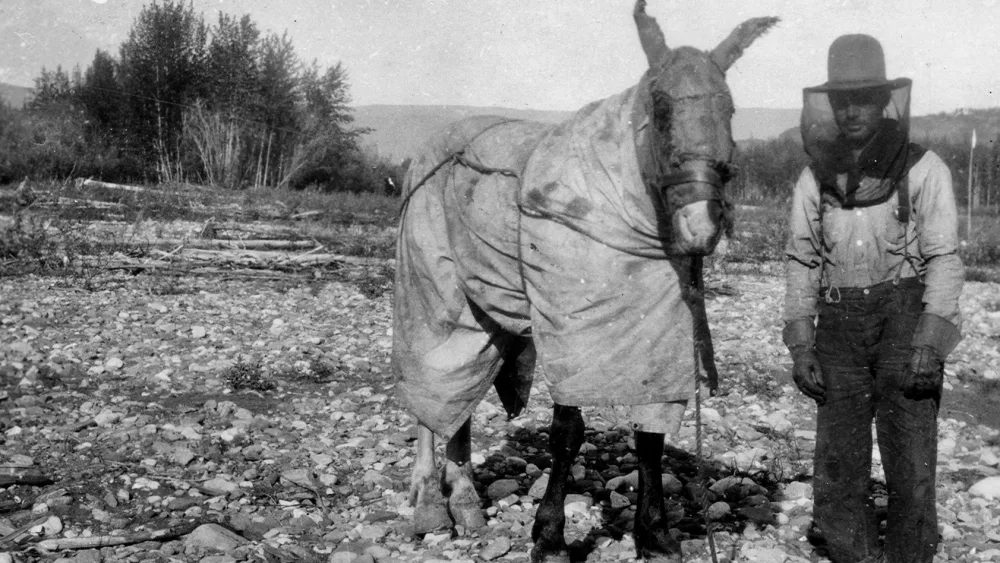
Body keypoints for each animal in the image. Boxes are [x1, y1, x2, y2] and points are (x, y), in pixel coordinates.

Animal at [388, 2, 772, 560]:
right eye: (658, 107)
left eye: (730, 109)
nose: (700, 224)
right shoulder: (566, 327)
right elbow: (567, 432)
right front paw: (549, 536)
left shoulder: (656, 344)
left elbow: (650, 436)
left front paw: (654, 533)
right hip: (432, 291)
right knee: (432, 393)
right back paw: (429, 504)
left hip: (484, 314)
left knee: (460, 399)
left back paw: (464, 501)